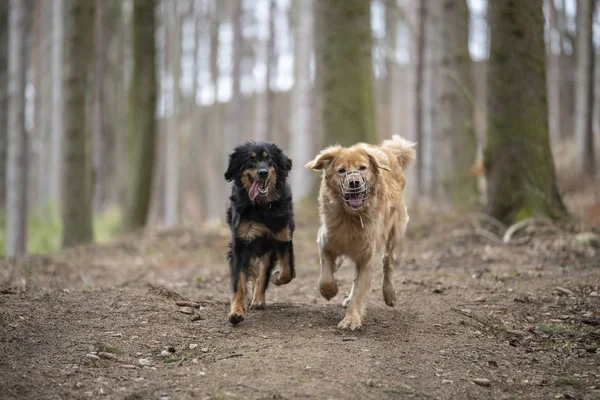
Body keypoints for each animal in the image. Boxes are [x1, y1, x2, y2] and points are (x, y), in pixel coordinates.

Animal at [223, 141, 296, 324]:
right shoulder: (241, 245)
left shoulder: (283, 238)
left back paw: (258, 299)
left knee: (263, 272)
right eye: (251, 159)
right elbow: (239, 283)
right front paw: (236, 312)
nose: (263, 172)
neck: (262, 207)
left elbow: (288, 272)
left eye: (268, 158)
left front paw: (277, 278)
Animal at [308, 136, 414, 330]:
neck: (351, 218)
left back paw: (389, 293)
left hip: (394, 233)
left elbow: (359, 292)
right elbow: (326, 277)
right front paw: (329, 291)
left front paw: (350, 320)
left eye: (362, 168)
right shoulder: (325, 242)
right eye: (341, 171)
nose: (354, 182)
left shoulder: (368, 258)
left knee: (388, 260)